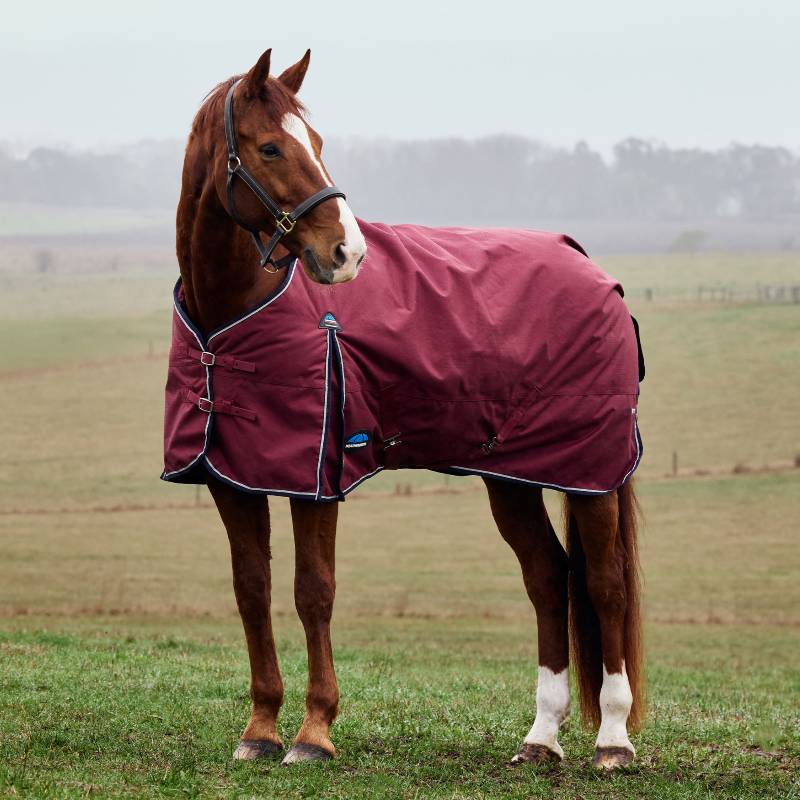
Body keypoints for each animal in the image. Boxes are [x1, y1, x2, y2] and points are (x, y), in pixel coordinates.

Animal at [169, 48, 644, 770]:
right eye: (271, 146)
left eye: (318, 143)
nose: (347, 253)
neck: (228, 320)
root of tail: (593, 271)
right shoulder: (234, 476)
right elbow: (252, 589)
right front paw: (259, 729)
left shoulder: (317, 480)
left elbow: (314, 592)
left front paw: (314, 732)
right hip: (512, 477)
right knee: (547, 576)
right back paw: (540, 738)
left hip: (590, 473)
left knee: (605, 583)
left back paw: (613, 739)